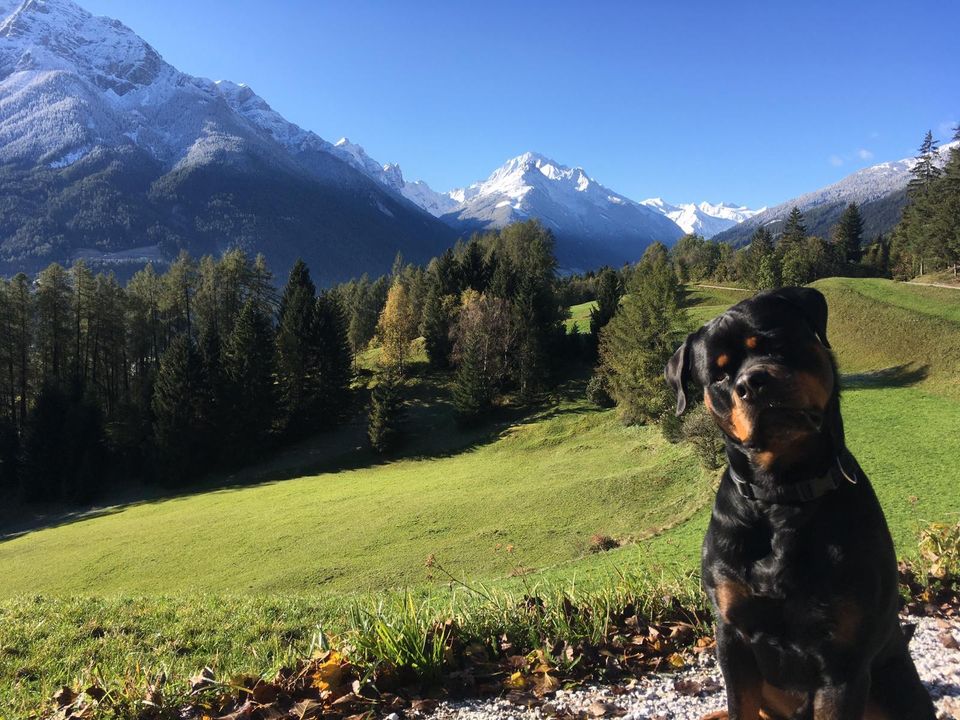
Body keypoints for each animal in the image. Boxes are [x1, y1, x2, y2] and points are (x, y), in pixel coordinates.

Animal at [664, 288, 932, 720]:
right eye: (719, 375)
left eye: (775, 341)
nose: (752, 382)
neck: (781, 494)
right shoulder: (732, 636)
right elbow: (739, 704)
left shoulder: (843, 660)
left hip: (893, 685)